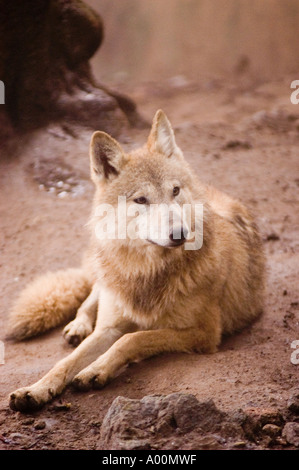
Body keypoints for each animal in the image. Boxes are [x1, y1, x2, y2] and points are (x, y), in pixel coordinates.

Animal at [7, 110, 266, 412]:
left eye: (175, 191)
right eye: (141, 200)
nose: (180, 233)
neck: (147, 273)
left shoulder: (204, 332)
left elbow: (133, 338)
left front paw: (96, 369)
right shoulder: (110, 327)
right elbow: (65, 362)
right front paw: (35, 390)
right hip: (105, 278)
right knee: (89, 297)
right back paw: (78, 326)